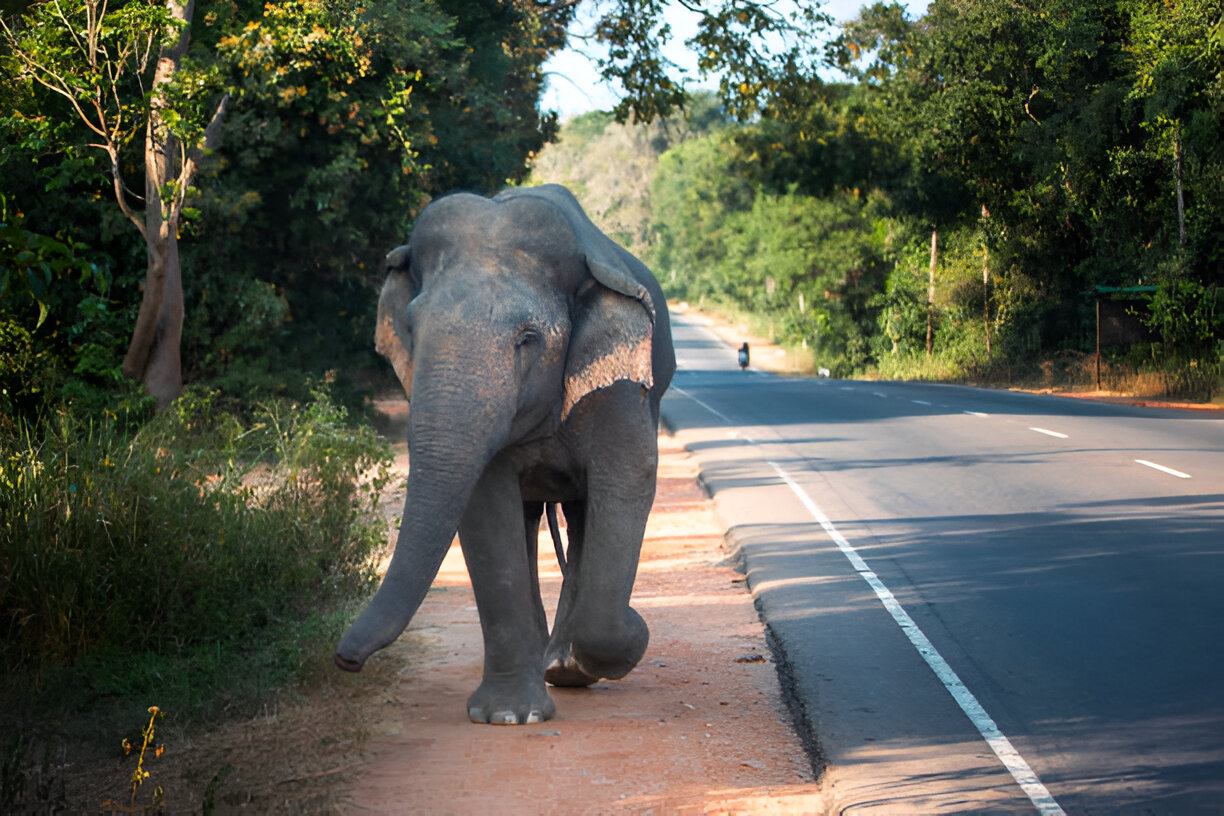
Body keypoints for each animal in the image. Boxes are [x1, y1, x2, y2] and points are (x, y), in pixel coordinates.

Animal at [334, 184, 675, 725]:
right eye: (411, 329)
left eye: (527, 338)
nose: (345, 660)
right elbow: (485, 504)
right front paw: (509, 717)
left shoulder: (620, 386)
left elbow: (629, 477)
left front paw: (631, 636)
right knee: (534, 515)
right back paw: (549, 665)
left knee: (583, 512)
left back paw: (563, 666)